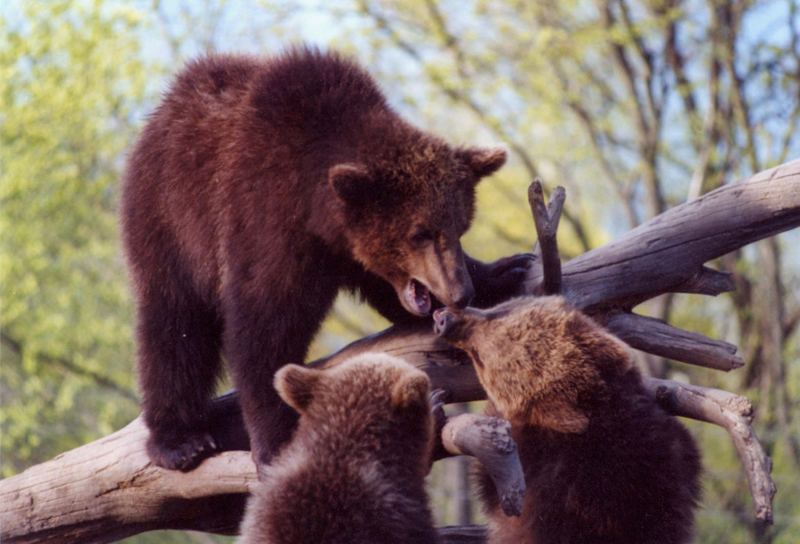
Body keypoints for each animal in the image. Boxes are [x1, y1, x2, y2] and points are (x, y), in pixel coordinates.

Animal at [120, 46, 532, 472]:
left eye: (459, 226)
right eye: (418, 233)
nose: (459, 292)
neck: (317, 208)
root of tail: (170, 100)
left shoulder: (345, 248)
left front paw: (507, 270)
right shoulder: (264, 216)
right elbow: (263, 328)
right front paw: (275, 441)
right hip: (169, 216)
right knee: (173, 323)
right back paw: (179, 440)